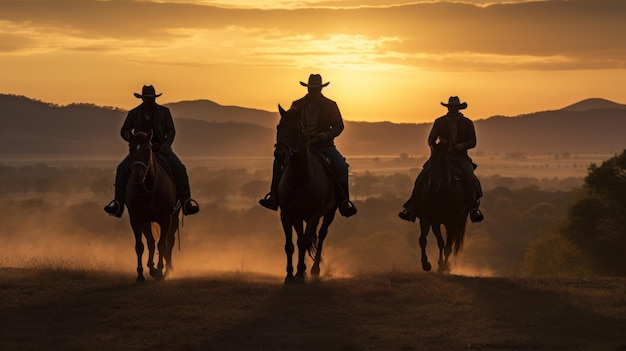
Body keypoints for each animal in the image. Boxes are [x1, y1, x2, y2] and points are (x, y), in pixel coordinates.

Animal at [123, 132, 179, 284]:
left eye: (148, 150)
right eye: (131, 149)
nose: (137, 175)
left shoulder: (166, 219)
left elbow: (162, 244)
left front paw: (160, 272)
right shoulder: (136, 220)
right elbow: (140, 246)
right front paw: (141, 274)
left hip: (175, 216)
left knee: (170, 241)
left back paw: (168, 268)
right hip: (147, 221)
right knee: (151, 242)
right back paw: (151, 267)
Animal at [272, 105, 336, 286]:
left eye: (296, 130)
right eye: (279, 127)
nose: (280, 155)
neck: (300, 179)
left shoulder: (314, 215)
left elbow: (304, 242)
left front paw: (300, 273)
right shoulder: (287, 214)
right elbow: (291, 244)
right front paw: (290, 275)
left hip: (329, 213)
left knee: (320, 236)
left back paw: (314, 270)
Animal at [414, 140, 468, 276]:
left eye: (444, 161)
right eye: (432, 159)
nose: (433, 184)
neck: (442, 194)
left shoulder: (452, 222)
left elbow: (448, 246)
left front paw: (443, 266)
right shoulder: (429, 219)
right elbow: (426, 240)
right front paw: (426, 264)